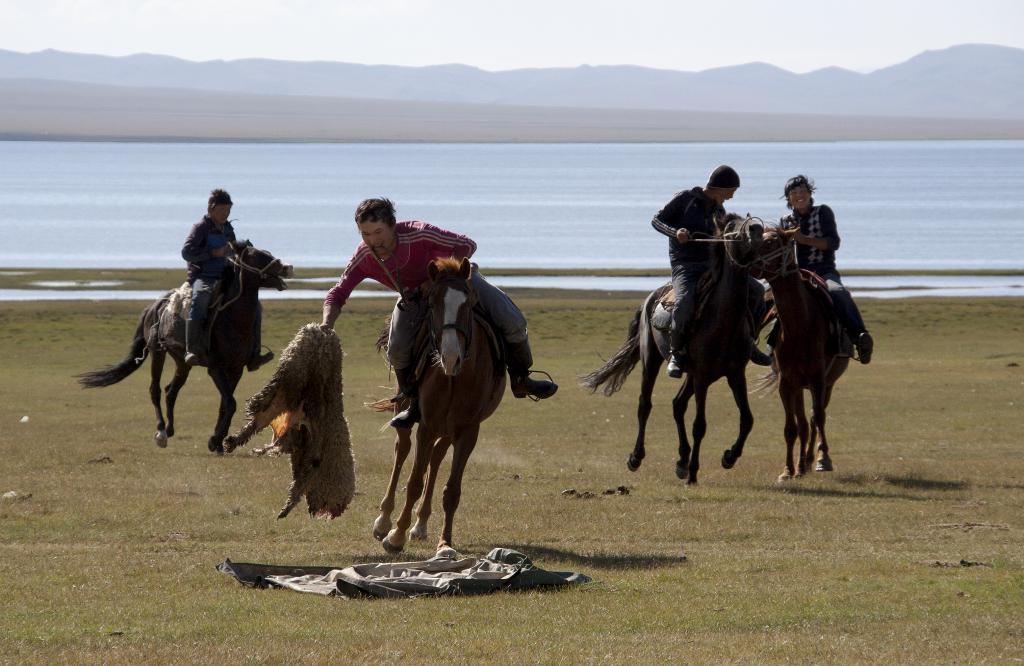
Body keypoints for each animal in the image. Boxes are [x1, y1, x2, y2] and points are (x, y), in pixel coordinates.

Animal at [75, 240, 290, 452]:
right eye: (256, 256)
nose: (287, 267)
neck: (233, 320)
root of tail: (155, 306)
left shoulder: (236, 369)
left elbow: (225, 403)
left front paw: (217, 441)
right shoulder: (215, 368)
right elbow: (230, 402)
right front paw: (216, 440)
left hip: (183, 362)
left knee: (171, 390)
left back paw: (170, 429)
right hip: (157, 353)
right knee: (155, 389)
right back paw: (161, 432)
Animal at [374, 257, 505, 553]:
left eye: (469, 302)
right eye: (432, 304)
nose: (450, 356)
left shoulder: (468, 431)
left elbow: (452, 490)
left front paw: (444, 543)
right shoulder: (427, 425)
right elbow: (413, 481)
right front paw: (396, 536)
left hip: (448, 430)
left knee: (436, 458)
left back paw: (420, 525)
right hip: (408, 412)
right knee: (402, 449)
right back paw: (384, 521)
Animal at [581, 215, 765, 479]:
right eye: (731, 226)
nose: (756, 229)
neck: (723, 319)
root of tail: (652, 298)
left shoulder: (735, 374)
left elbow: (747, 419)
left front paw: (729, 457)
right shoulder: (702, 377)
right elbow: (700, 425)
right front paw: (694, 473)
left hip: (692, 375)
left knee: (678, 405)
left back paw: (681, 460)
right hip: (652, 361)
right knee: (645, 405)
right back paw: (636, 457)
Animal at [749, 225, 851, 479]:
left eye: (772, 242)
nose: (747, 262)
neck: (800, 326)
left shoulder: (818, 380)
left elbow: (818, 418)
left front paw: (824, 459)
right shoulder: (786, 383)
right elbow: (791, 427)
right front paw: (787, 470)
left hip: (827, 384)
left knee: (815, 418)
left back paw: (812, 459)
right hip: (798, 387)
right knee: (803, 423)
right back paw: (802, 464)